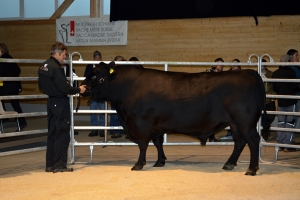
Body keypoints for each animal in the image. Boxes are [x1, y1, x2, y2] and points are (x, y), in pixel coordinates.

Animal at [82, 61, 268, 176]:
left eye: (94, 76)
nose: (82, 88)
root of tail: (248, 71)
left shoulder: (141, 123)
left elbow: (143, 144)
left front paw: (138, 164)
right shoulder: (155, 124)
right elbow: (158, 143)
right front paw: (160, 161)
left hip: (245, 121)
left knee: (252, 140)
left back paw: (251, 169)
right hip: (235, 123)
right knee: (239, 142)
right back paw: (229, 164)